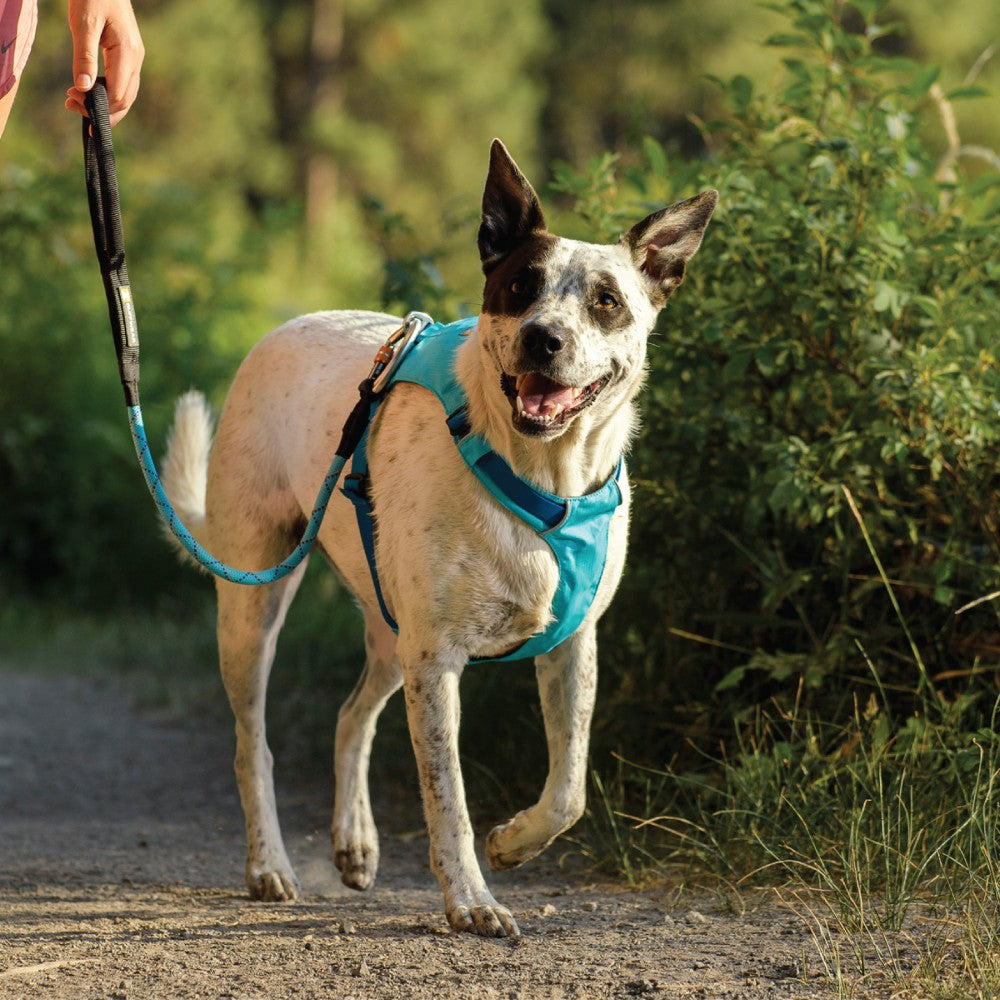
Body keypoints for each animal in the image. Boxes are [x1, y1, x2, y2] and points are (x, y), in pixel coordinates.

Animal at [160, 141, 716, 936]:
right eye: (519, 286)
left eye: (607, 300)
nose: (543, 338)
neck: (541, 479)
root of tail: (286, 326)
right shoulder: (437, 661)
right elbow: (447, 797)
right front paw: (472, 900)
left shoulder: (573, 645)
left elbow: (569, 788)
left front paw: (515, 843)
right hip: (256, 604)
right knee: (251, 745)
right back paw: (269, 865)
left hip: (391, 627)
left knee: (350, 715)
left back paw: (356, 843)